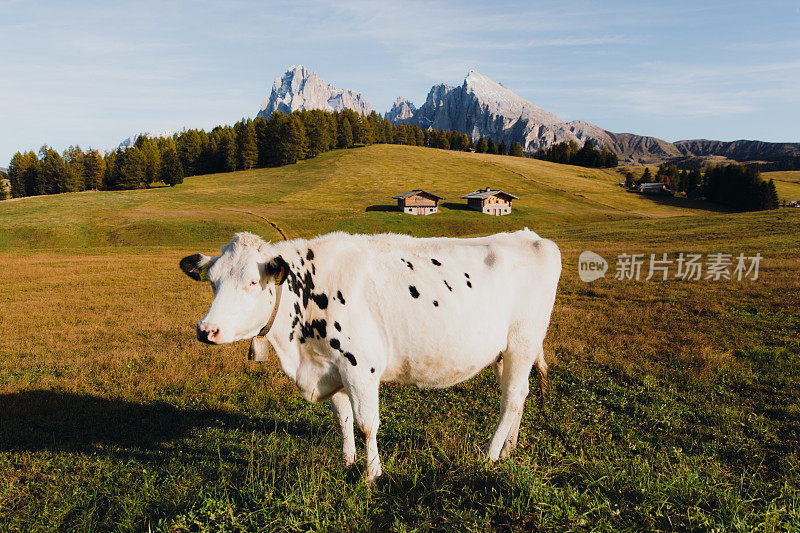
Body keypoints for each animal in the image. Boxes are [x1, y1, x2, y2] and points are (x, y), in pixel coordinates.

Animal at [178, 229, 560, 482]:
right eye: (212, 281)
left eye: (253, 282)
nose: (206, 330)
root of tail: (532, 237)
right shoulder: (331, 367)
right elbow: (343, 419)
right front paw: (348, 462)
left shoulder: (360, 367)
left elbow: (366, 424)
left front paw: (371, 474)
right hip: (504, 352)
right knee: (519, 395)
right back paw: (509, 448)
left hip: (524, 340)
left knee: (512, 398)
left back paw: (490, 455)